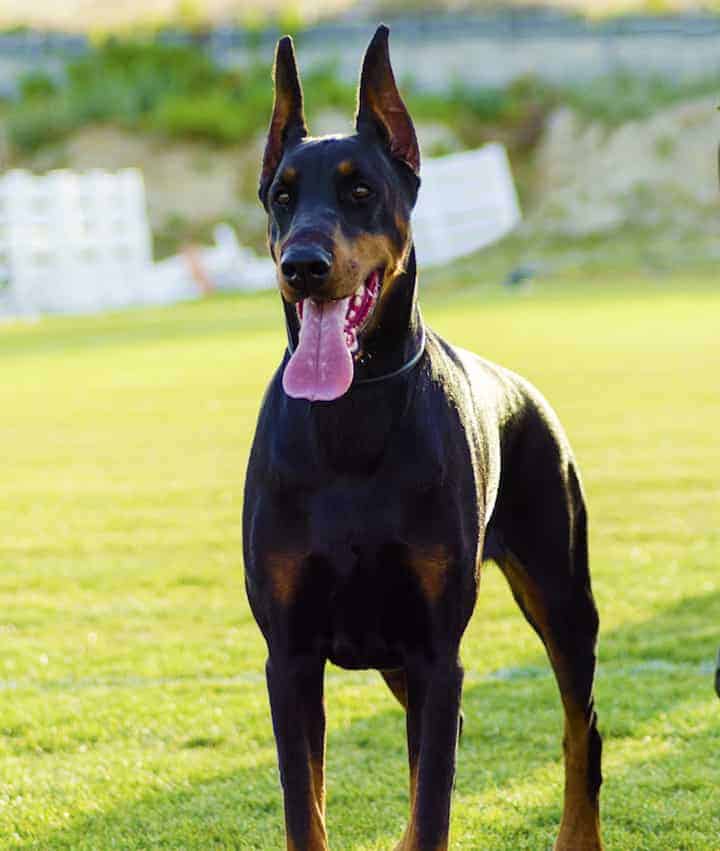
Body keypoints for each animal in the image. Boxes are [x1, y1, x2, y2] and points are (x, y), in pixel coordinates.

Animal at [242, 26, 600, 851]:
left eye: (359, 191)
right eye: (282, 196)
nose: (302, 264)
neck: (352, 415)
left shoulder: (438, 651)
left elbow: (432, 797)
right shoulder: (291, 655)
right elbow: (304, 807)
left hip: (561, 591)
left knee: (582, 726)